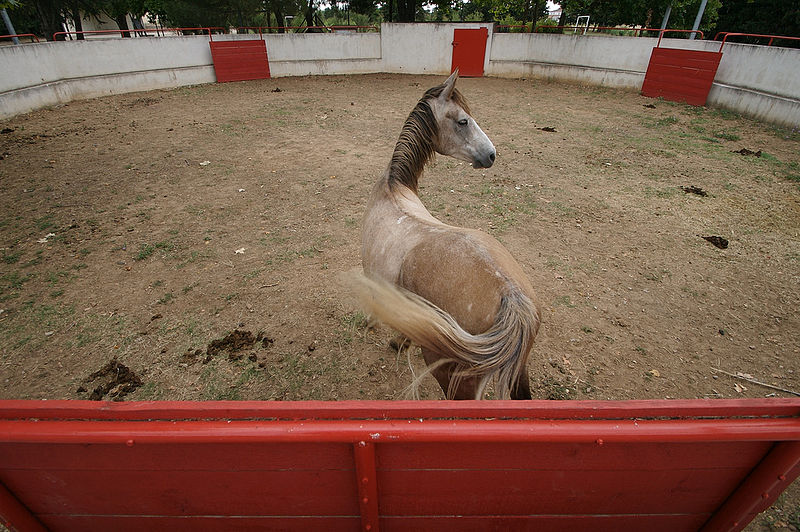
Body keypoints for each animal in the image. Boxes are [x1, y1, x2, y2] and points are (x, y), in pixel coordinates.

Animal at [358, 70, 540, 402]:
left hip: (454, 378)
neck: (393, 189)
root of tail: (511, 297)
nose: (491, 154)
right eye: (463, 121)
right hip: (518, 373)